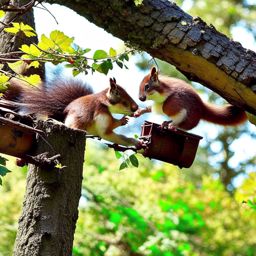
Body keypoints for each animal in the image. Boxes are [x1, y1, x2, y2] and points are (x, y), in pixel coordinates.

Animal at [3, 77, 141, 147]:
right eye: (123, 101)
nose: (136, 107)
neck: (104, 103)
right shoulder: (101, 115)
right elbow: (106, 132)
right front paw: (122, 121)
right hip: (76, 122)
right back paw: (57, 122)